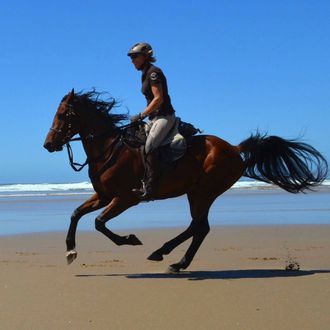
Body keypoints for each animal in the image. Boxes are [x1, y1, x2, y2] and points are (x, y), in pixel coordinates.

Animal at [43, 89, 328, 272]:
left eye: (63, 115)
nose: (48, 145)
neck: (109, 148)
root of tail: (234, 149)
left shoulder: (126, 198)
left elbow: (99, 223)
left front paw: (130, 239)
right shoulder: (104, 195)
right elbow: (76, 214)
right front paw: (70, 251)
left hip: (204, 192)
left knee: (199, 227)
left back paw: (166, 255)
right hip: (197, 193)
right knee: (200, 227)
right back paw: (175, 260)